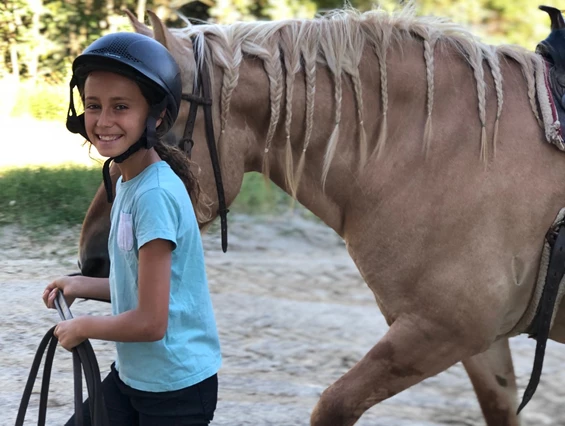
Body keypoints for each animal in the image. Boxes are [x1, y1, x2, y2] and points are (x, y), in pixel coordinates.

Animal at [76, 4, 565, 426]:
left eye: (159, 135)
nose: (91, 260)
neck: (452, 154)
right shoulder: (480, 342)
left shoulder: (439, 332)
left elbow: (333, 405)